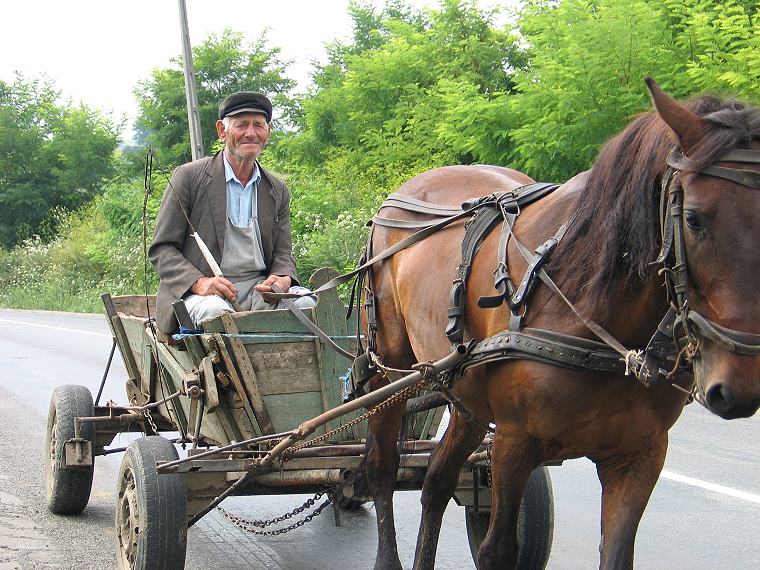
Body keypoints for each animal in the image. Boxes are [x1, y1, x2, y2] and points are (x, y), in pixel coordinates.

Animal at [360, 76, 760, 568]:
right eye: (693, 218)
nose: (738, 385)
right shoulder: (514, 443)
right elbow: (498, 550)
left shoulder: (640, 456)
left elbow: (617, 552)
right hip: (388, 370)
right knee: (381, 469)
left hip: (466, 394)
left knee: (436, 482)